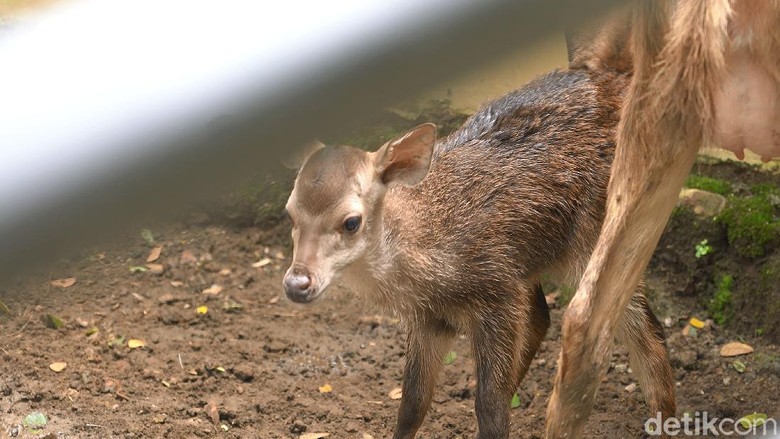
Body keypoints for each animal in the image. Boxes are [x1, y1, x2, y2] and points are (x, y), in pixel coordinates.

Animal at [284, 67, 672, 438]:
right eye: (290, 212)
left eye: (351, 221)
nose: (296, 282)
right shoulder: (432, 318)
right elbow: (412, 402)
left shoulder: (496, 292)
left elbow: (489, 405)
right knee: (543, 317)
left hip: (599, 231)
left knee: (641, 333)